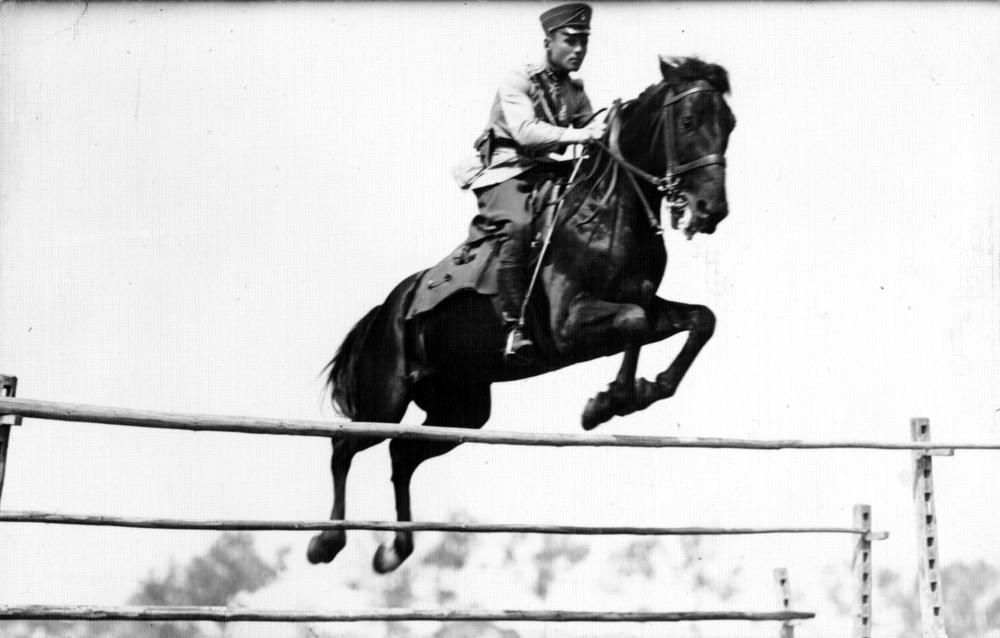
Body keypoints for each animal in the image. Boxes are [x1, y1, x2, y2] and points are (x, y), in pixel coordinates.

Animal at [307, 57, 736, 573]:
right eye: (689, 122)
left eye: (731, 125)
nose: (711, 210)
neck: (606, 212)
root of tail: (386, 309)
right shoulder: (569, 327)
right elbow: (633, 321)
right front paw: (608, 402)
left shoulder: (647, 306)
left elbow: (699, 320)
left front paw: (643, 390)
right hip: (385, 401)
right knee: (344, 446)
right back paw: (326, 540)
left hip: (462, 411)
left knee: (402, 454)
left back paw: (395, 550)